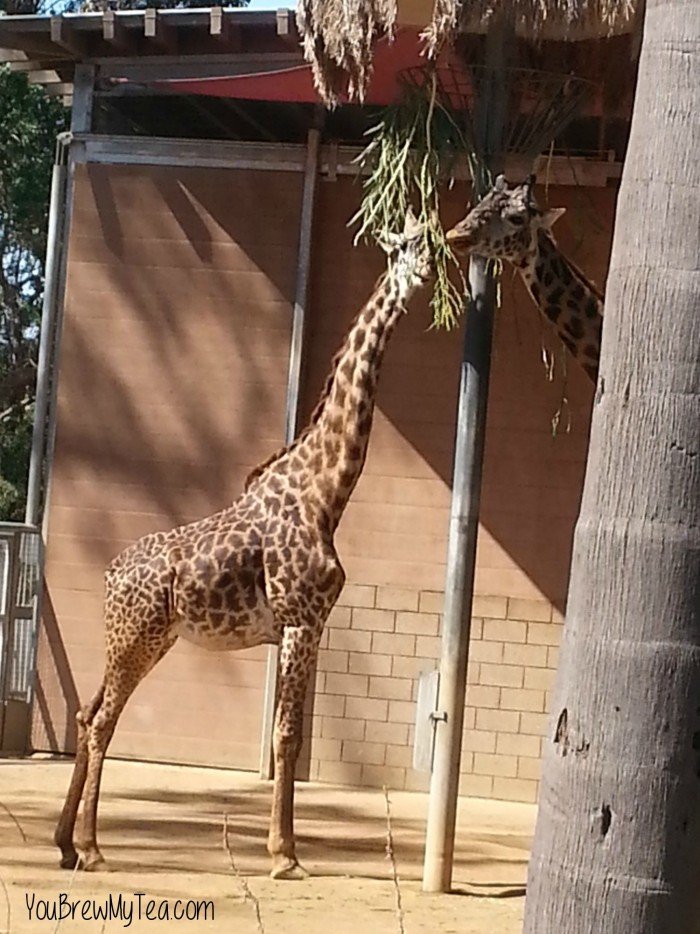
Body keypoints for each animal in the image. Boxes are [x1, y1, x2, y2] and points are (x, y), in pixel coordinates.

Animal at [53, 210, 432, 884]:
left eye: (426, 236)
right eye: (406, 243)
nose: (432, 265)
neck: (324, 492)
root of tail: (108, 575)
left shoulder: (306, 626)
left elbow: (292, 736)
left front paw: (285, 849)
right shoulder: (301, 620)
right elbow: (286, 736)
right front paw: (285, 857)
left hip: (140, 641)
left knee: (85, 713)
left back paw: (67, 844)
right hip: (136, 640)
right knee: (101, 722)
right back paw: (94, 849)